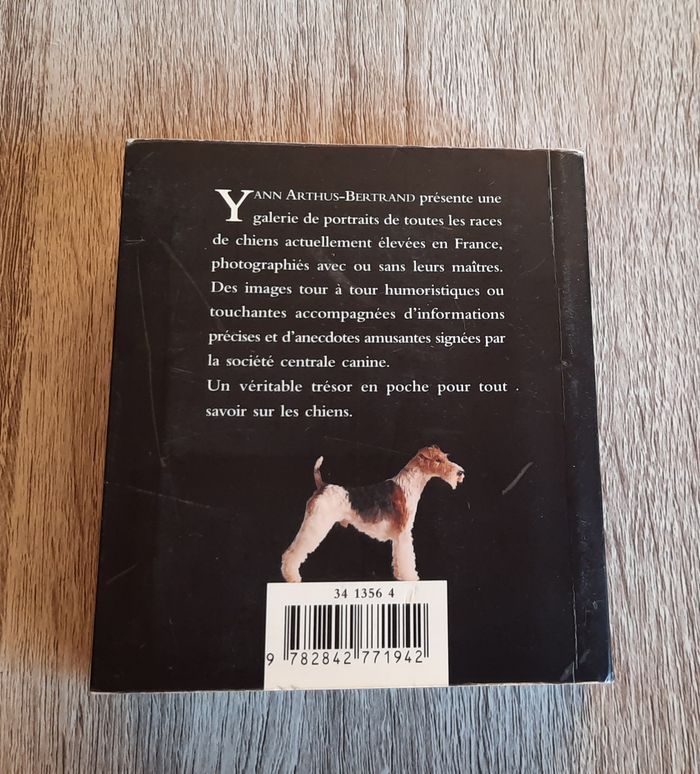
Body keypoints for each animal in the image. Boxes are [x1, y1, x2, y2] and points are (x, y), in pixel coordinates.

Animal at [281, 446, 465, 582]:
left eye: (445, 457)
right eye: (438, 460)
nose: (461, 473)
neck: (408, 485)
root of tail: (322, 485)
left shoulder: (399, 535)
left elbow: (399, 557)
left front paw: (400, 575)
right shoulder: (404, 532)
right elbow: (407, 556)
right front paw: (411, 577)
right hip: (315, 524)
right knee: (292, 552)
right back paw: (292, 577)